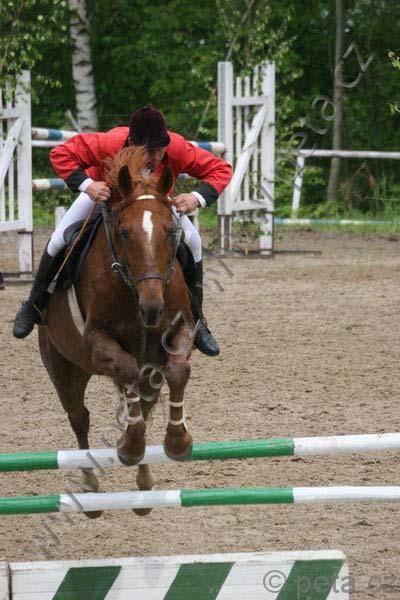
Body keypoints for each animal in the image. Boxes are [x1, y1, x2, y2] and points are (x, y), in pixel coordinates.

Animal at [38, 146, 195, 517]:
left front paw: (177, 442)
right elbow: (125, 368)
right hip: (64, 369)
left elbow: (178, 370)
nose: (151, 308)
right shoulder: (97, 342)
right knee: (79, 418)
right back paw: (91, 490)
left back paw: (144, 488)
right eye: (124, 233)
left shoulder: (179, 332)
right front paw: (130, 447)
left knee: (145, 405)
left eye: (171, 231)